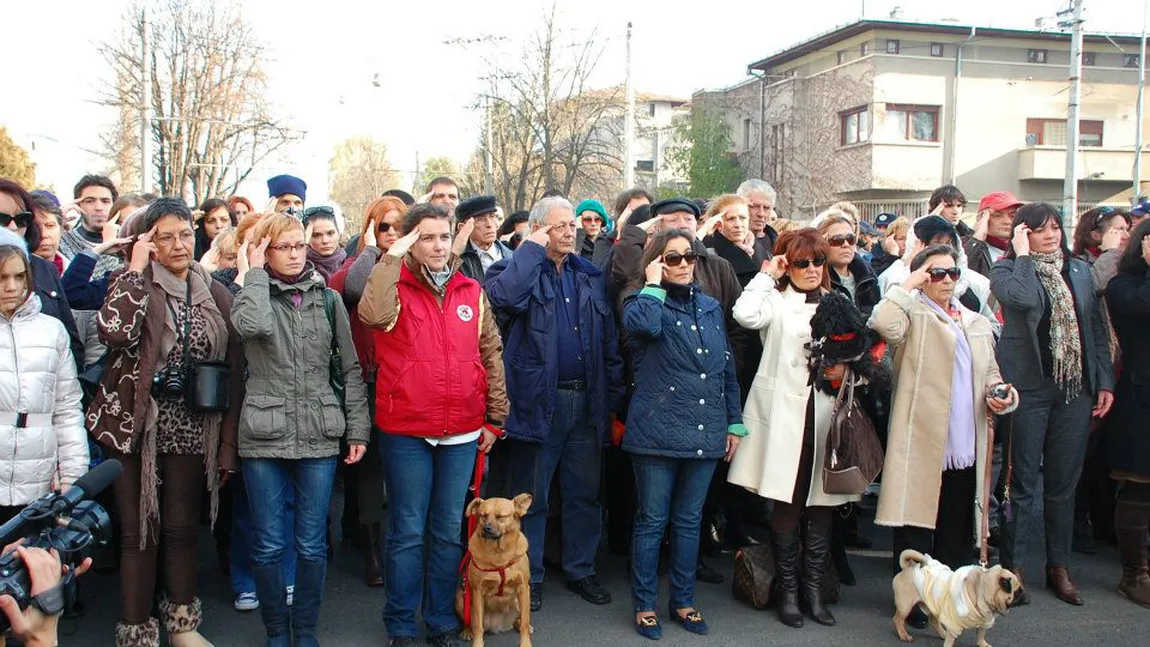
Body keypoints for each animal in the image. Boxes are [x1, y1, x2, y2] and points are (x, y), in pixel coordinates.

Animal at [455, 496, 531, 647]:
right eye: (483, 515)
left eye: (500, 516)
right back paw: (467, 631)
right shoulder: (478, 591)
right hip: (460, 599)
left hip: (522, 599)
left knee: (520, 619)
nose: (486, 528)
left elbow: (525, 622)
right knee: (470, 622)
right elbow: (477, 626)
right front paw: (477, 643)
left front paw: (526, 643)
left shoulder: (523, 588)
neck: (498, 555)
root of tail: (498, 625)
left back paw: (519, 623)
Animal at [892, 549, 1021, 647]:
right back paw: (904, 635)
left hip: (933, 603)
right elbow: (950, 640)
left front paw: (983, 644)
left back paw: (942, 634)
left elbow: (981, 634)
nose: (1023, 596)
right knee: (898, 620)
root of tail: (909, 567)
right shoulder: (952, 623)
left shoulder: (984, 621)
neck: (979, 590)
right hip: (905, 606)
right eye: (1017, 592)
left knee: (933, 621)